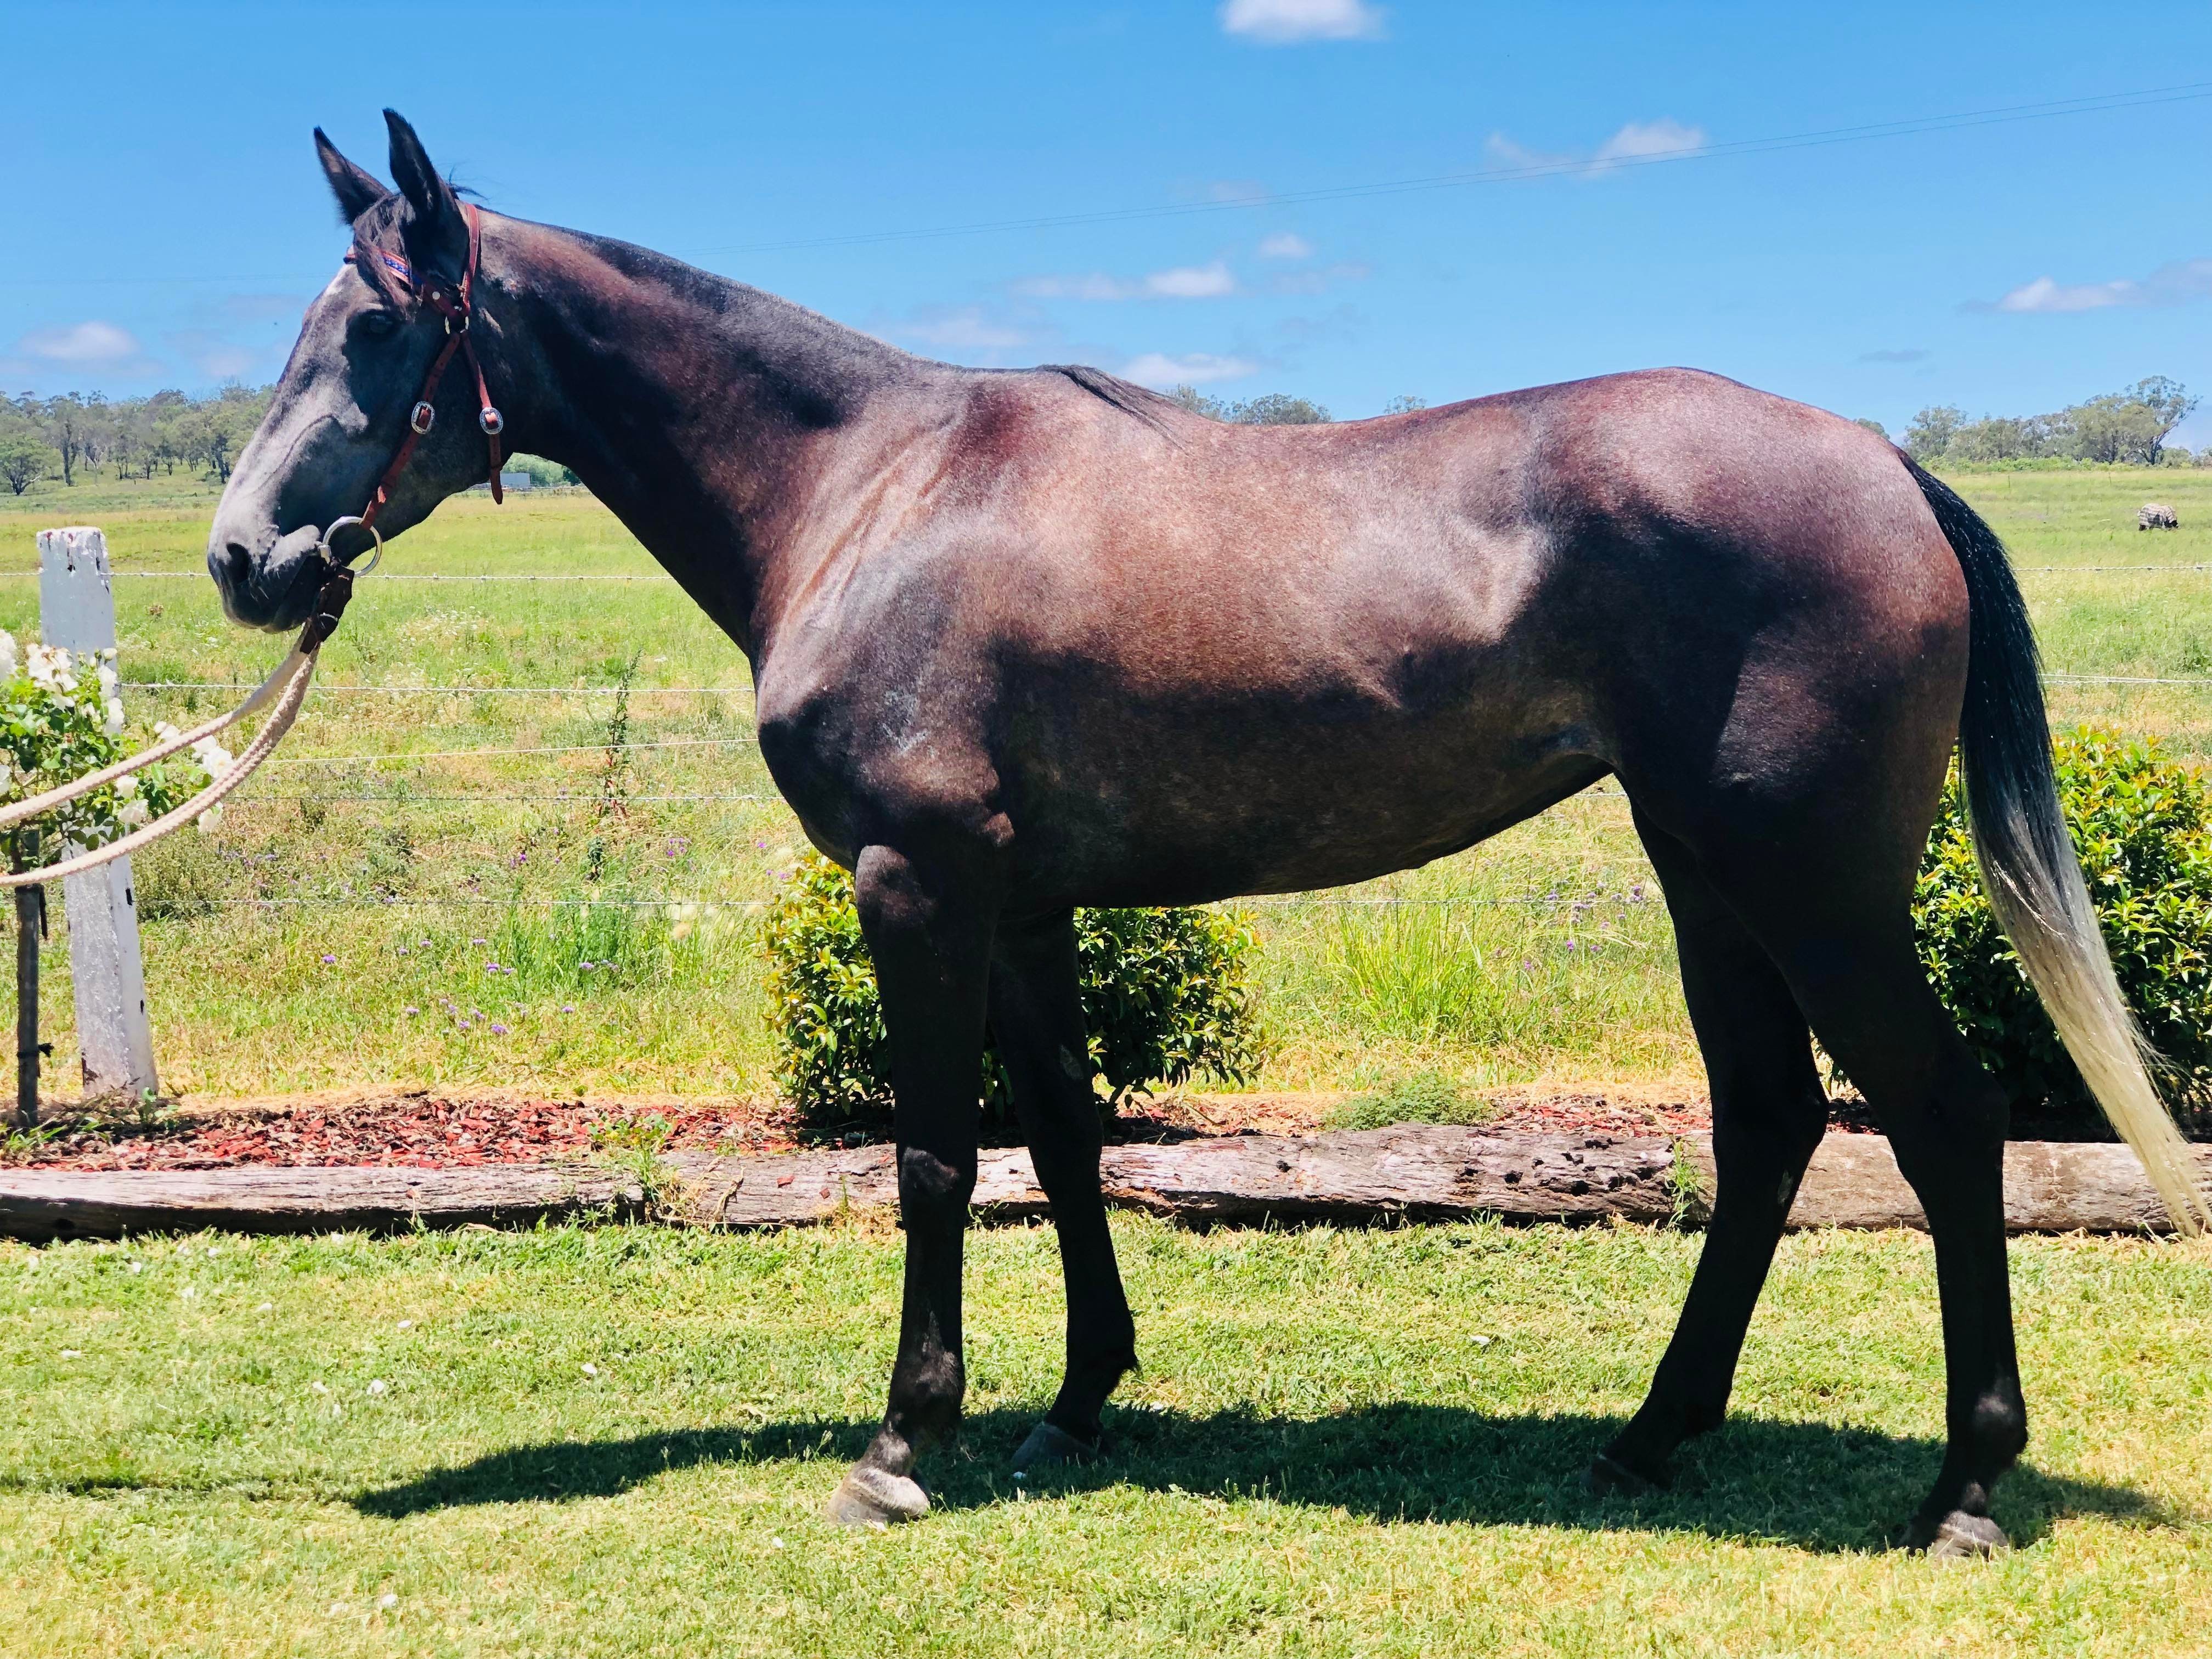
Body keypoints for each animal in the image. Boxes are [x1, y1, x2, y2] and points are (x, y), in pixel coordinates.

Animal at [208, 111, 2207, 1557]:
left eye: (379, 328)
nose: (245, 558)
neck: (873, 485)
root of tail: (1882, 460)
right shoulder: (1018, 906)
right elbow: (1066, 1141)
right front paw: (1078, 1396)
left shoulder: (917, 889)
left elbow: (935, 1158)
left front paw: (903, 1441)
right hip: (1706, 873)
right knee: (1772, 1121)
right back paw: (1652, 1439)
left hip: (1813, 884)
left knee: (1942, 1119)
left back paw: (1962, 1488)